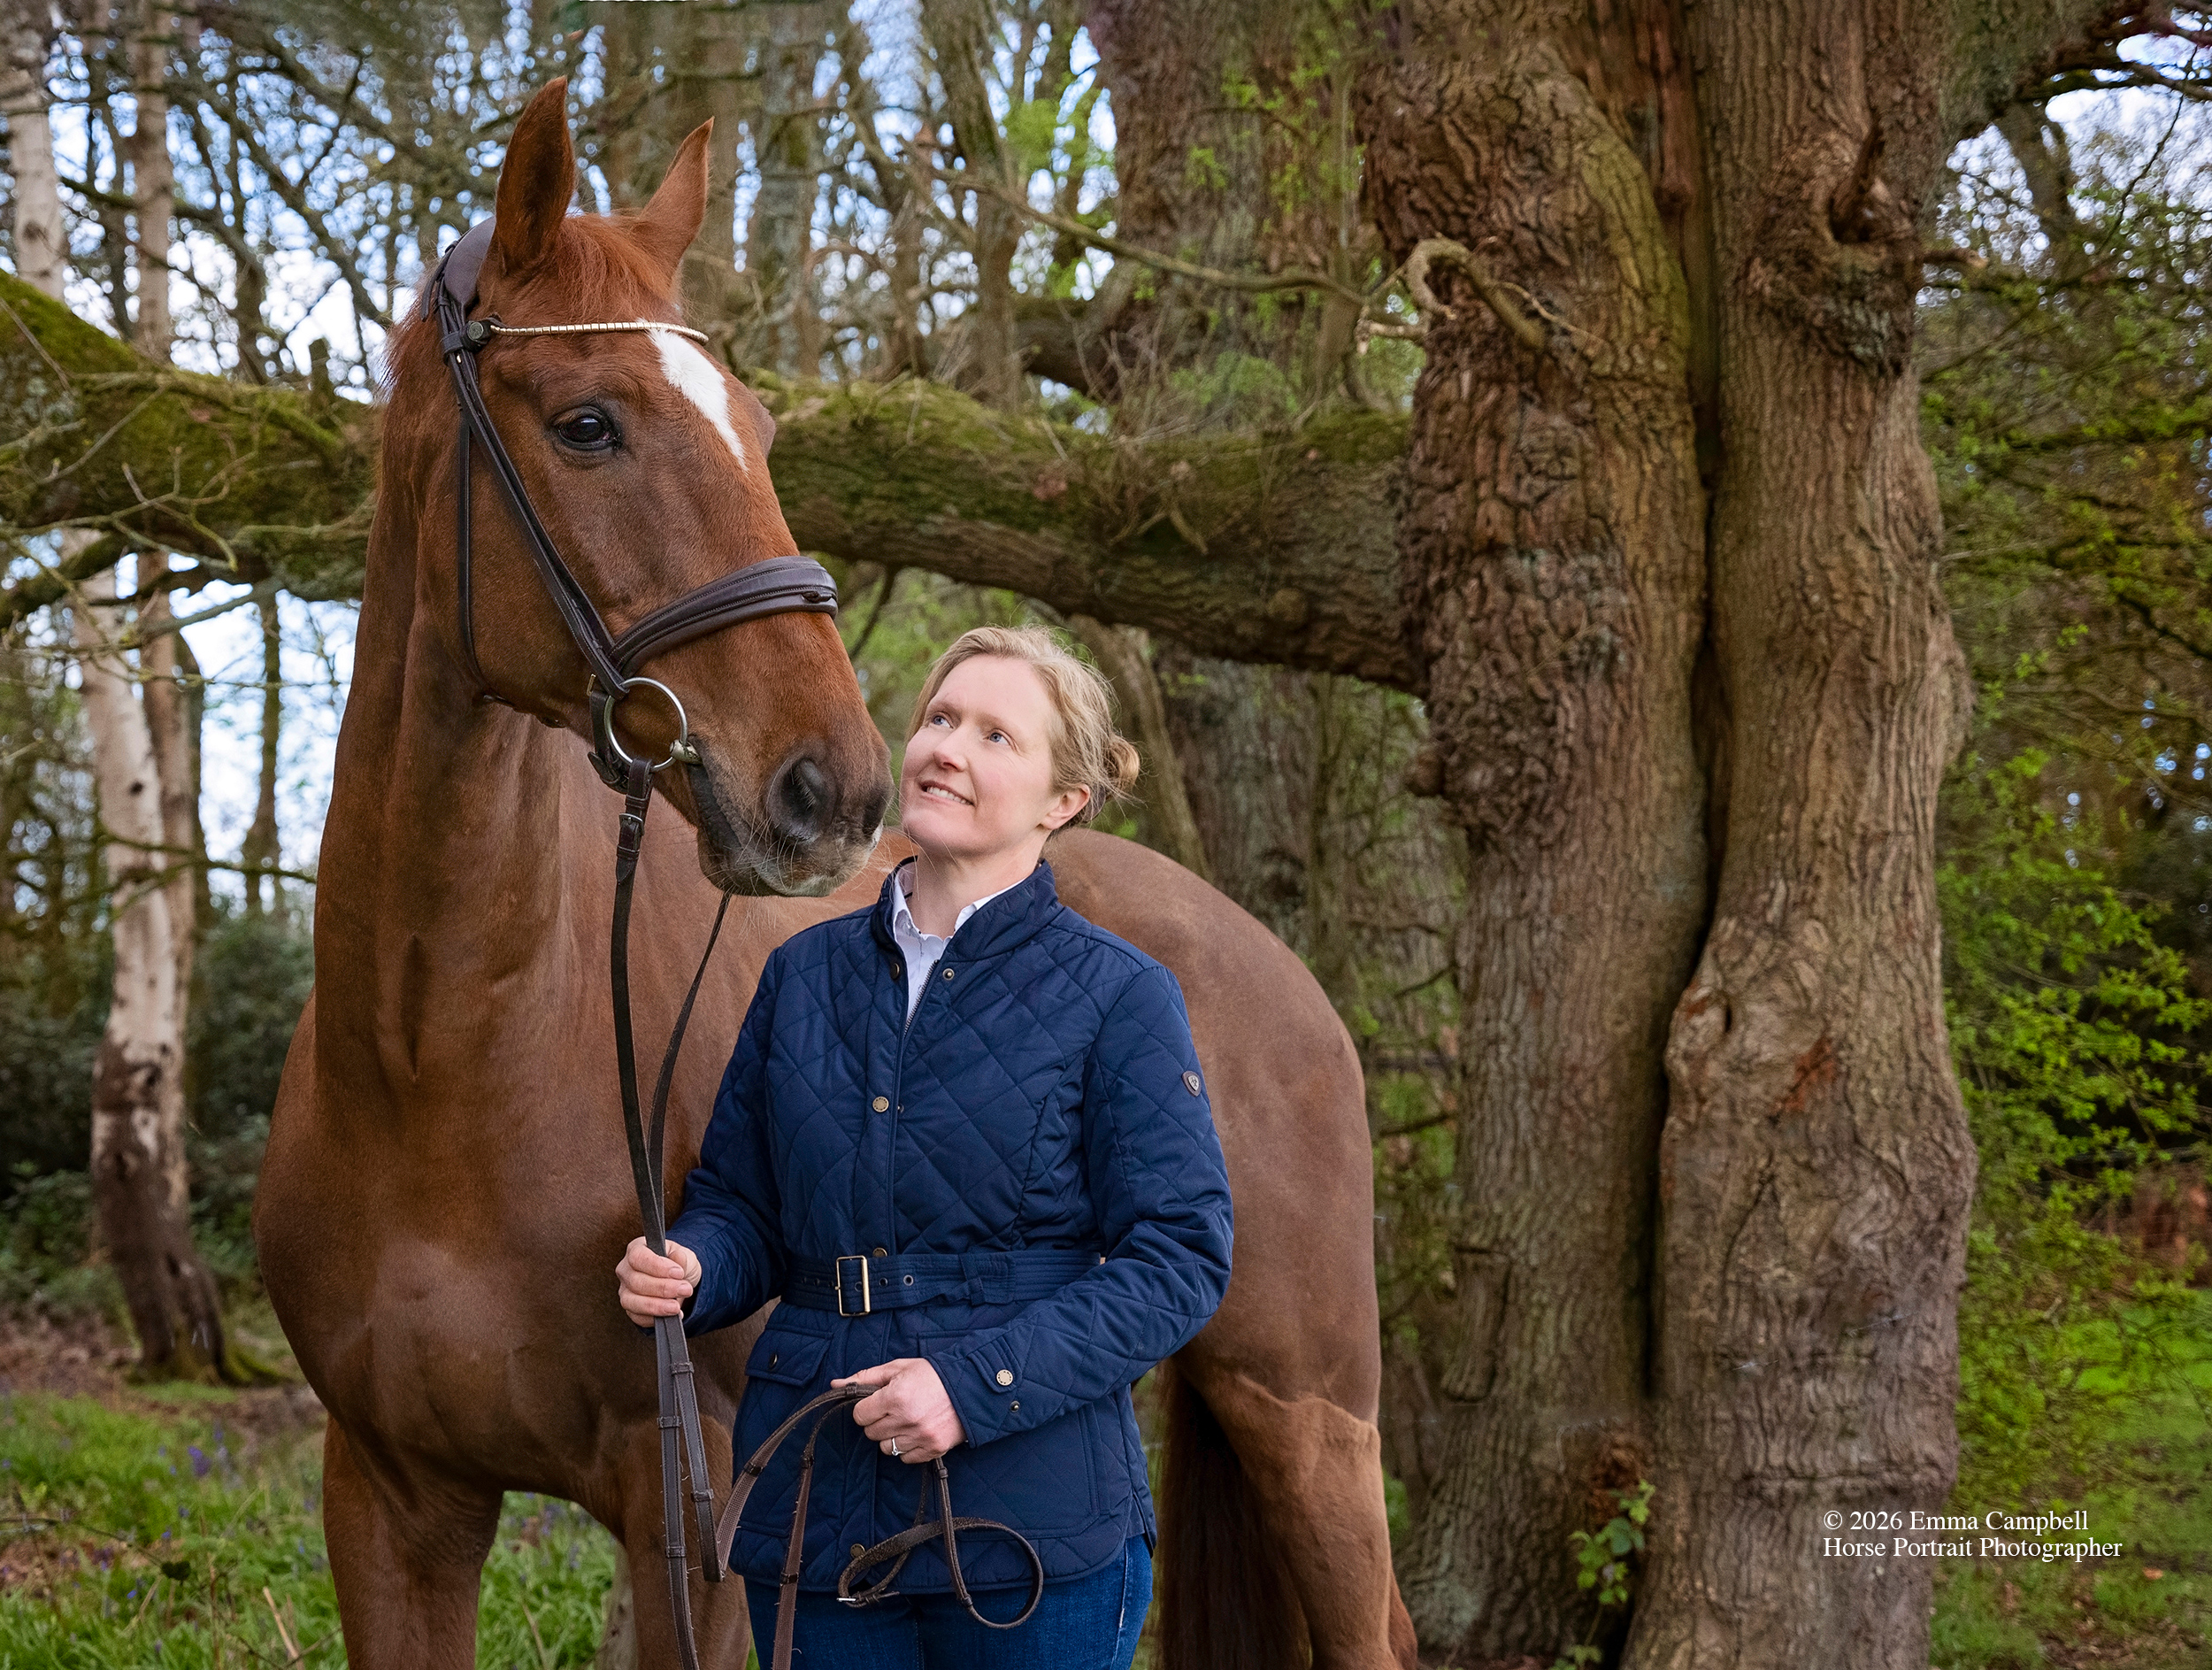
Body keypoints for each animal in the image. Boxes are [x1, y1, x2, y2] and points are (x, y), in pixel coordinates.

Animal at [255, 77, 1418, 1670]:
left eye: (754, 426)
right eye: (587, 423)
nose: (835, 781)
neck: (442, 1064)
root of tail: (1273, 967)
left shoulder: (690, 1508)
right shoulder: (389, 1496)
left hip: (1306, 1408)